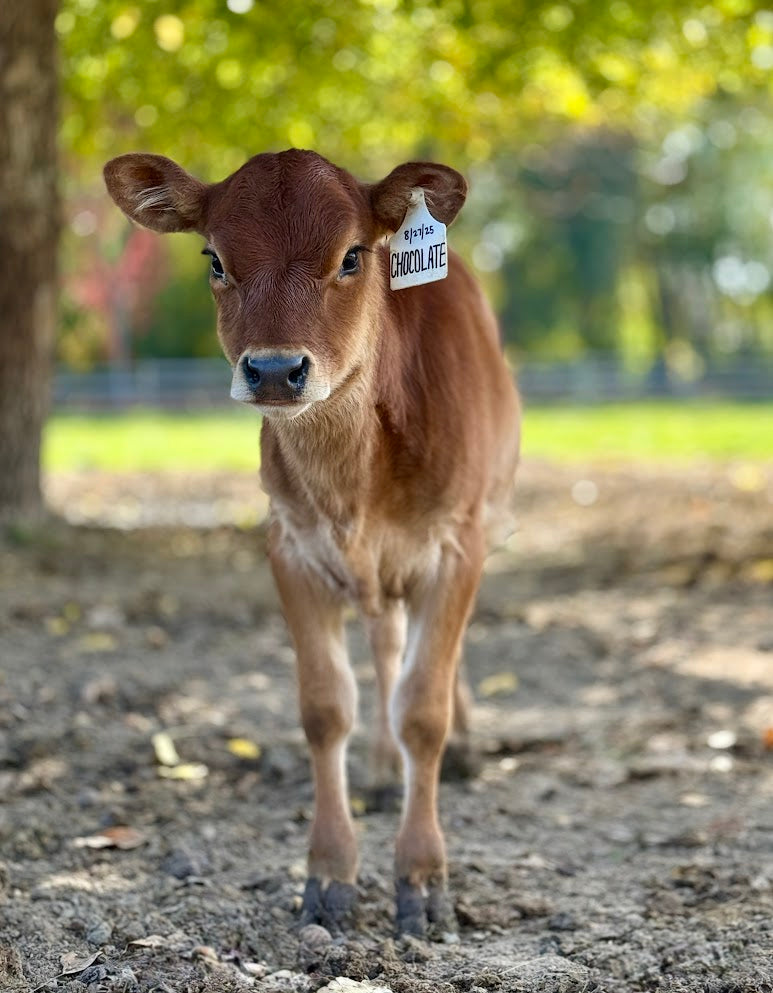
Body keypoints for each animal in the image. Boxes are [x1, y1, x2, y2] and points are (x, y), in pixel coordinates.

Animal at [104, 148, 520, 937]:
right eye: (214, 259)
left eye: (352, 255)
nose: (273, 370)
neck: (353, 480)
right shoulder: (290, 546)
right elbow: (326, 708)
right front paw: (329, 875)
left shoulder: (458, 542)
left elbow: (425, 708)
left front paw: (423, 878)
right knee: (385, 646)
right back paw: (383, 771)